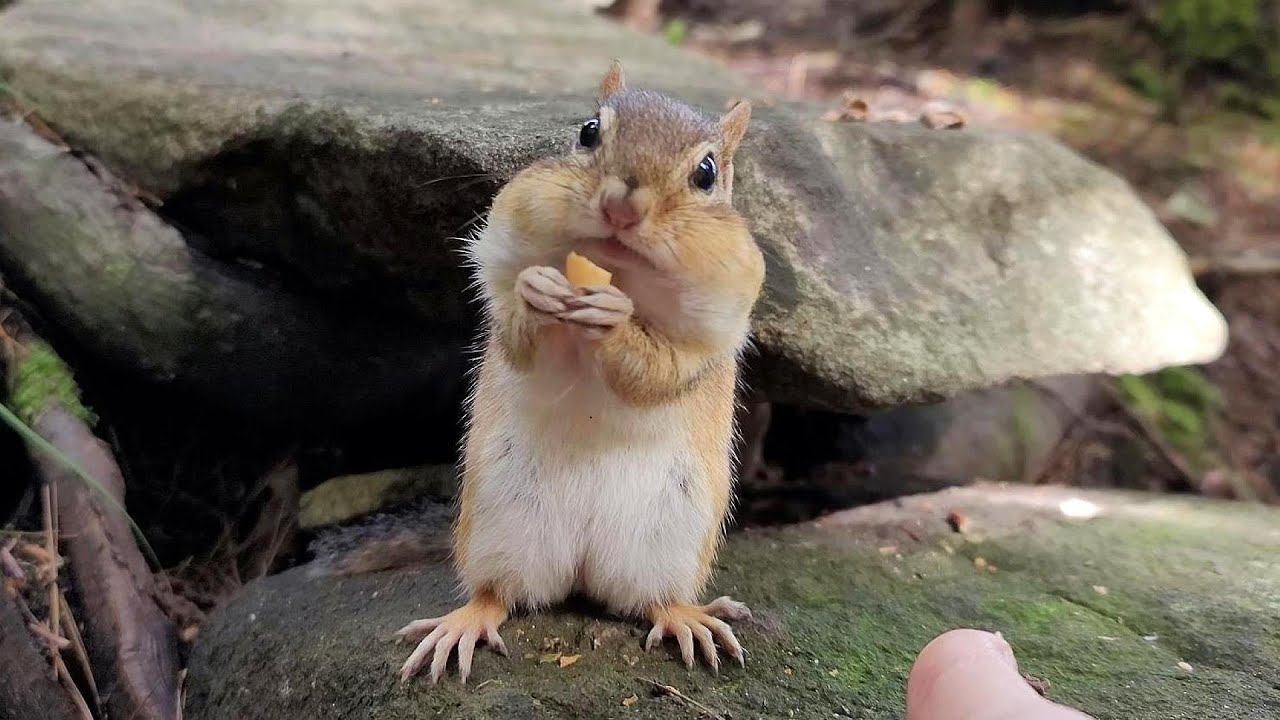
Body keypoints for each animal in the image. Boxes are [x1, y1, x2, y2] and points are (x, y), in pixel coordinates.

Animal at [395, 61, 766, 684]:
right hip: (500, 525)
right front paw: (536, 292)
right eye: (588, 131)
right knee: (498, 594)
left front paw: (615, 323)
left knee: (653, 600)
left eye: (707, 172)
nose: (621, 208)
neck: (622, 271)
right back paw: (463, 623)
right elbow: (519, 335)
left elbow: (657, 371)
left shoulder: (708, 335)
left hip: (669, 539)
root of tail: (582, 568)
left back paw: (687, 616)